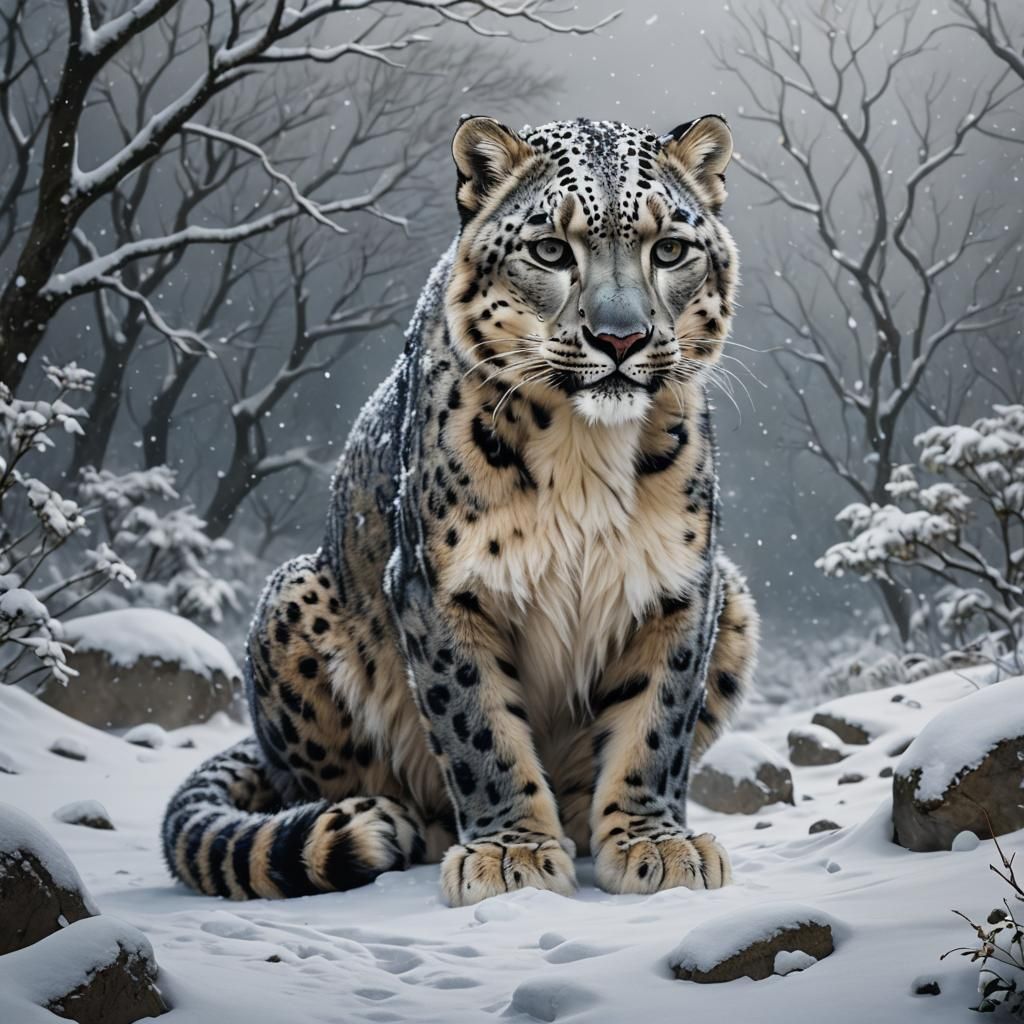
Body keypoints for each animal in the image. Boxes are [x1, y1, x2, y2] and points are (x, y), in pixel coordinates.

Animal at [161, 113, 759, 907]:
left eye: (669, 249)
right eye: (549, 248)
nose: (620, 337)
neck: (585, 450)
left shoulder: (678, 582)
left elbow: (657, 723)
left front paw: (653, 842)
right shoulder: (442, 583)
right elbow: (479, 727)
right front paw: (512, 855)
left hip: (738, 599)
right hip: (296, 598)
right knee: (331, 784)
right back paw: (402, 824)